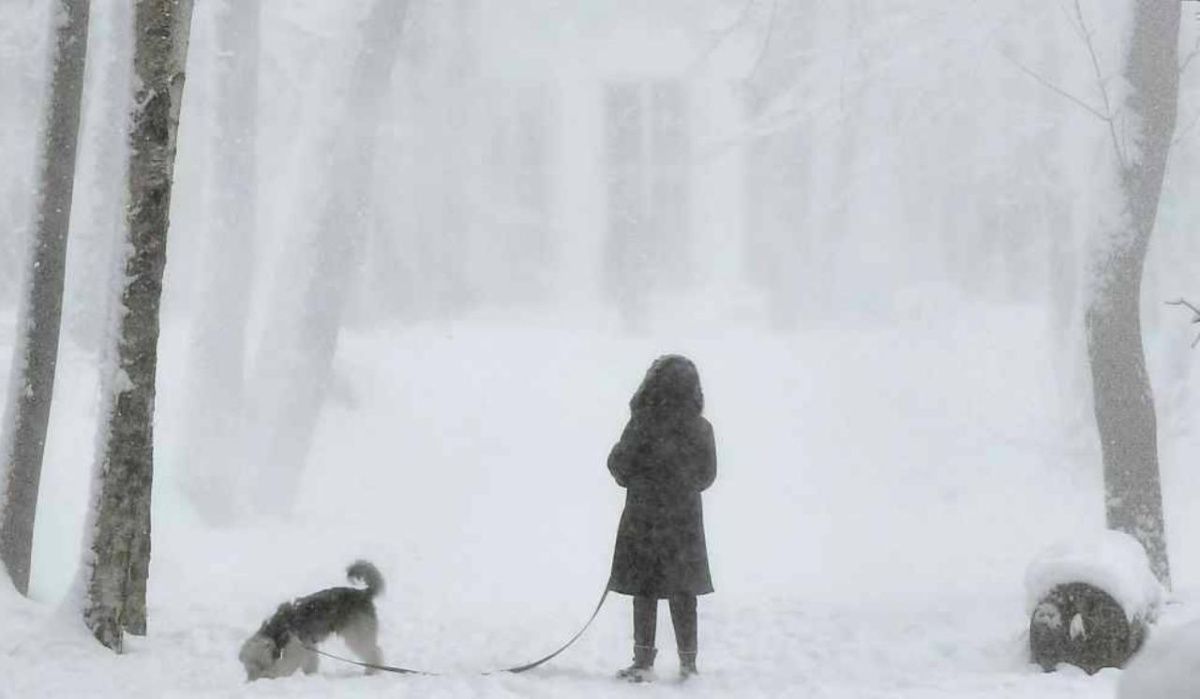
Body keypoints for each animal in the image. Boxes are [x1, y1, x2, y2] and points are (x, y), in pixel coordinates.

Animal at [234, 562, 384, 682]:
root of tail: (364, 593)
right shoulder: (308, 646)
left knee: (374, 652)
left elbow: (285, 666)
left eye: (261, 665)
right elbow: (311, 663)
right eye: (248, 667)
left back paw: (371, 672)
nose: (252, 680)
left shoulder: (295, 650)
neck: (279, 629)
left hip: (357, 634)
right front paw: (310, 676)